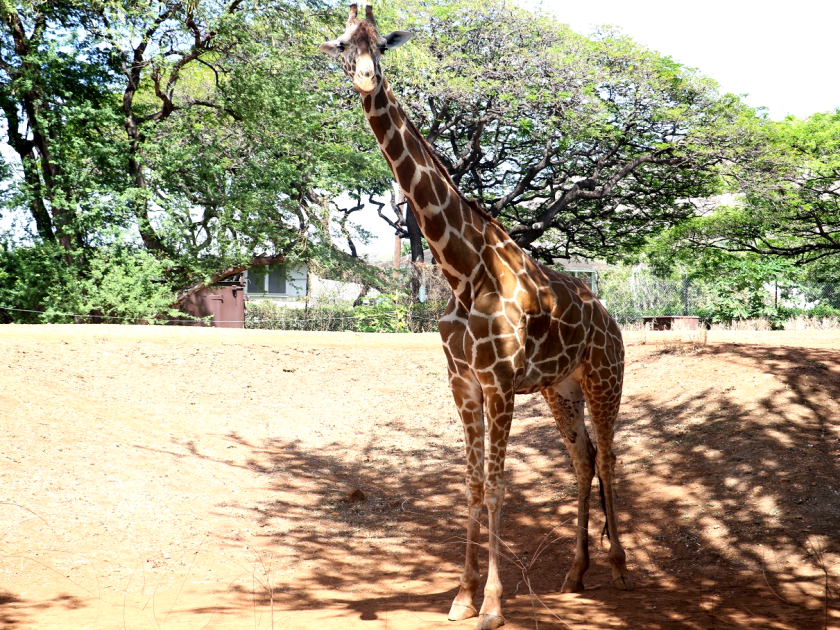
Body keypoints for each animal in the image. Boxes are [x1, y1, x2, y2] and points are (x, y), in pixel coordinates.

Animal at [318, 3, 632, 628]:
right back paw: (576, 573)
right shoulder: (462, 381)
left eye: (381, 46)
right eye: (343, 44)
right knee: (583, 459)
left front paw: (491, 604)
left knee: (609, 456)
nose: (365, 78)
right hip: (561, 387)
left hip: (604, 376)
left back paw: (619, 567)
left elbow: (497, 485)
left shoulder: (501, 381)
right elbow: (470, 483)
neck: (461, 268)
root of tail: (610, 320)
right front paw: (461, 595)